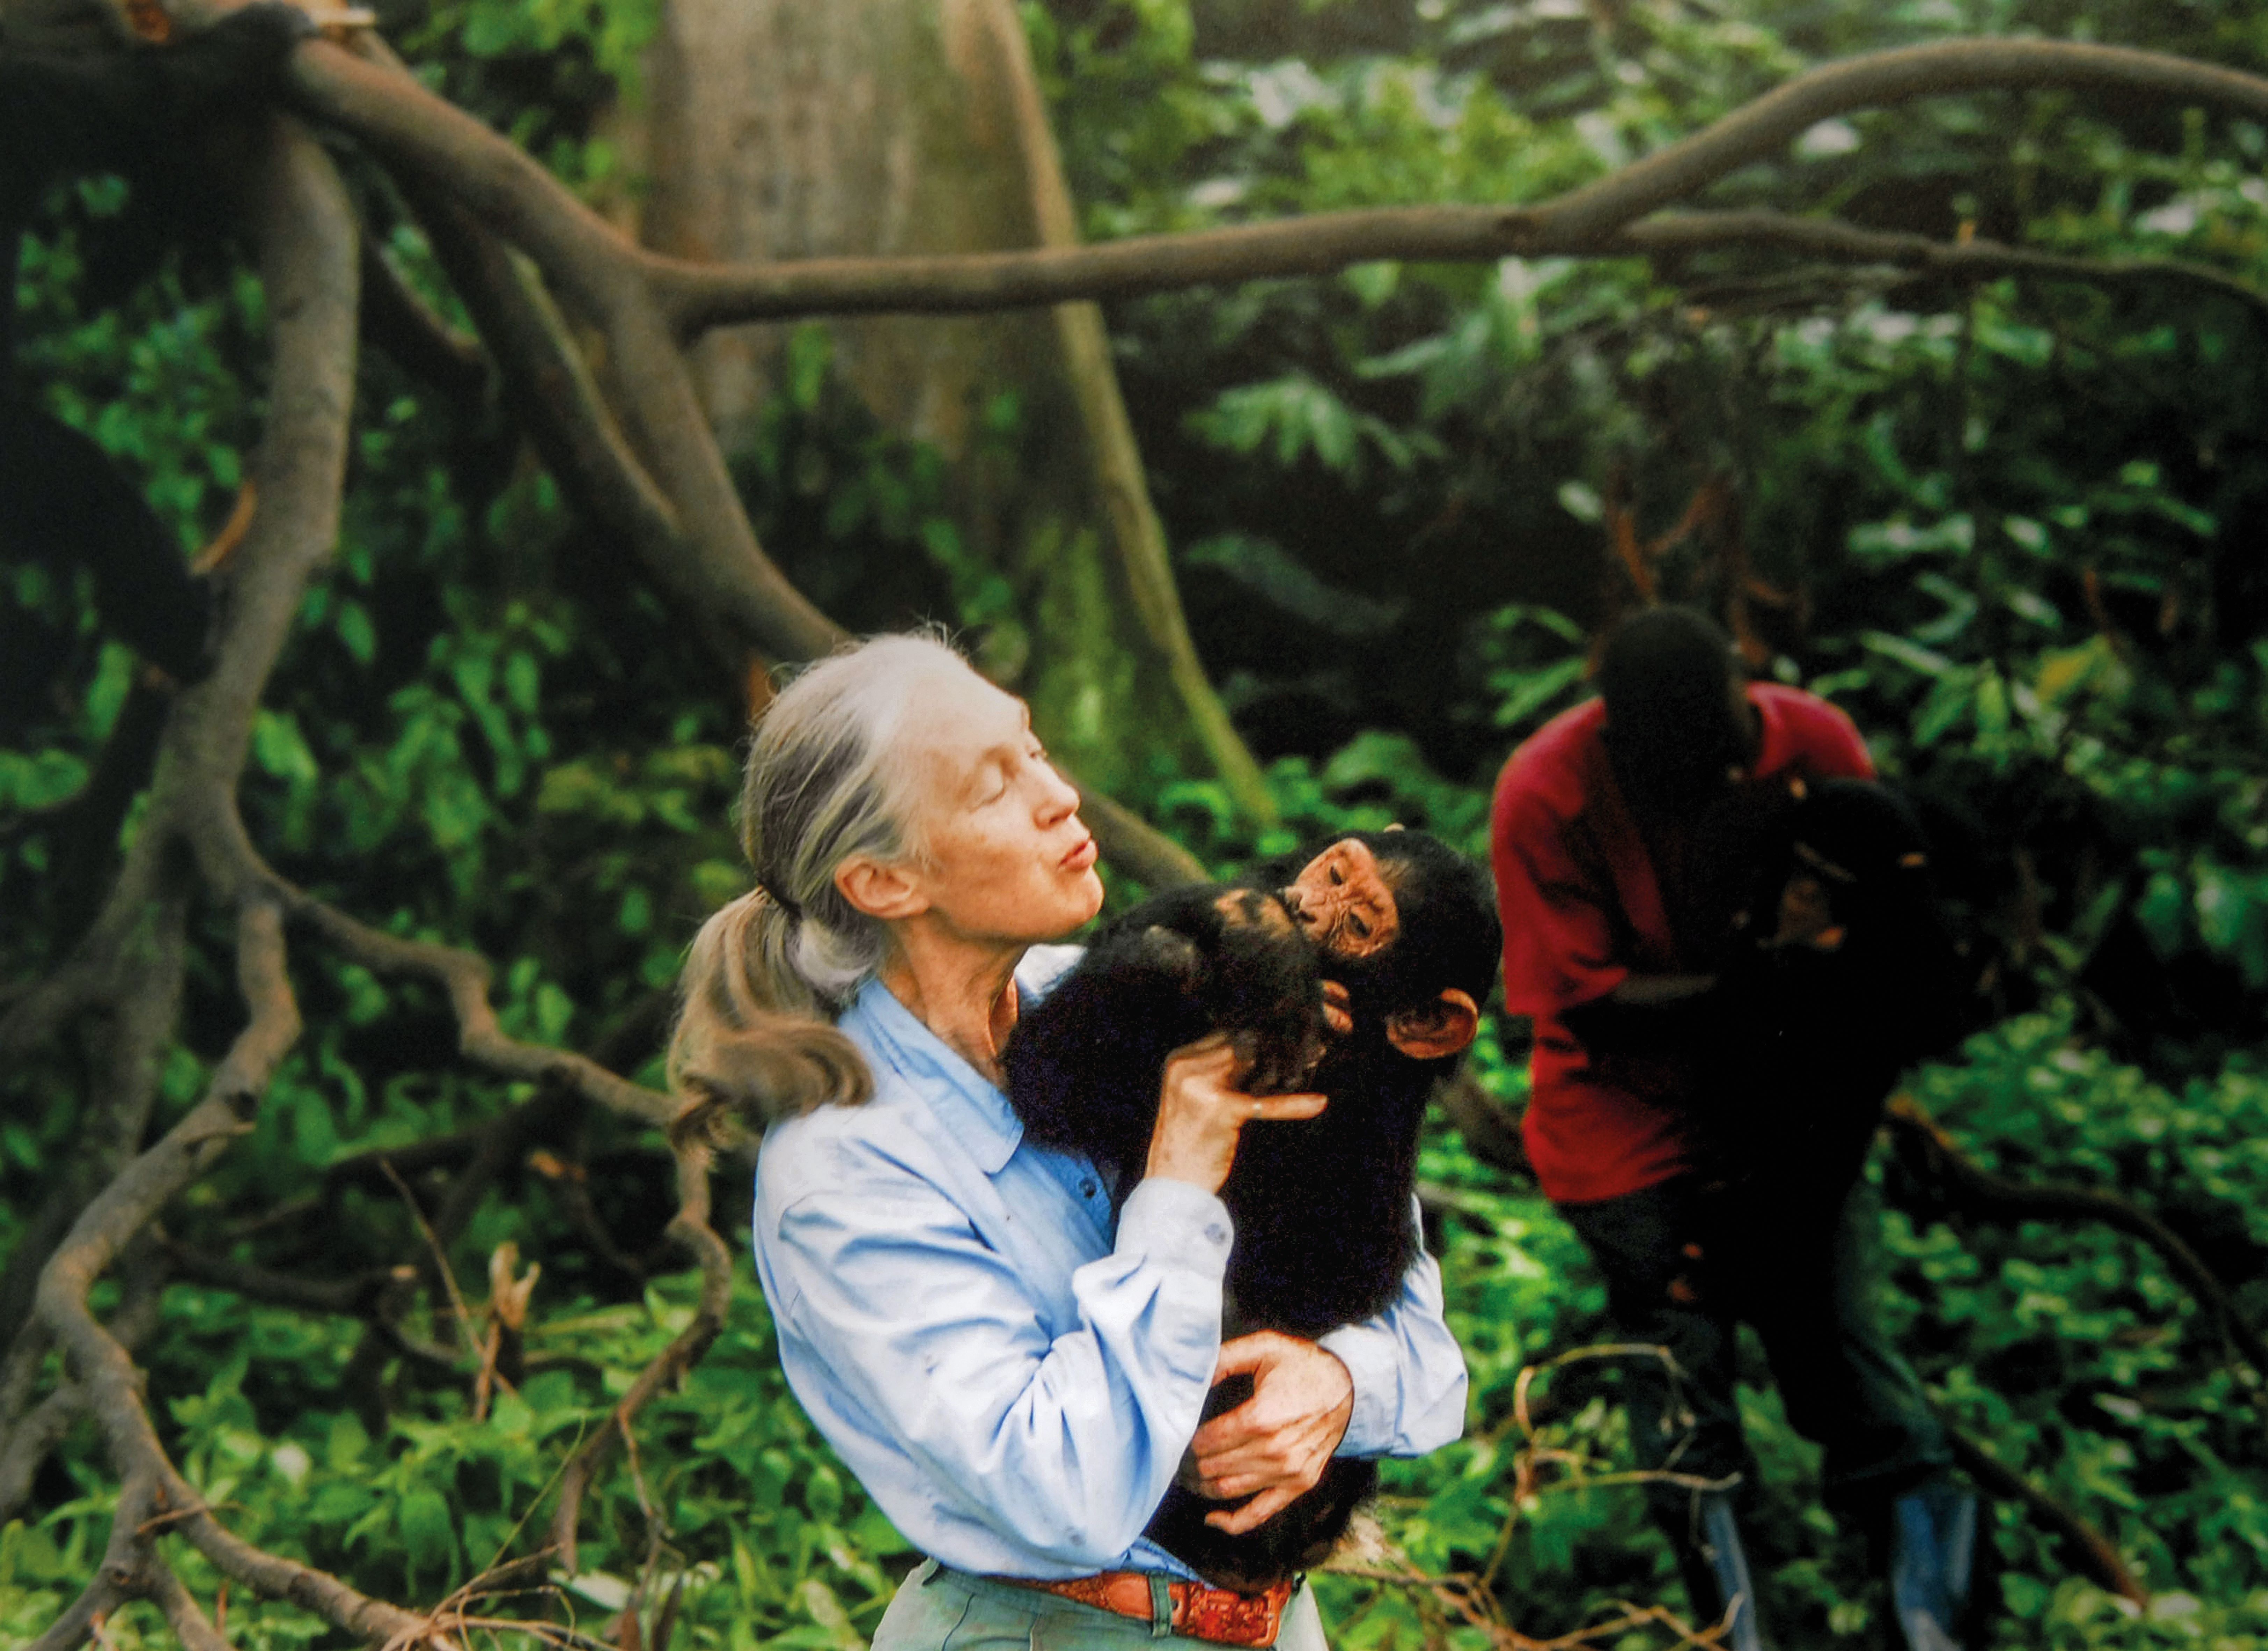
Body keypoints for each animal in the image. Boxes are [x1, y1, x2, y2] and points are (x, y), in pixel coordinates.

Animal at [1002, 830, 1497, 1596]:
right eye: (1334, 873)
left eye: (1361, 924)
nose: (1302, 905)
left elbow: (1333, 1275)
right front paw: (1254, 928)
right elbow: (1046, 1075)